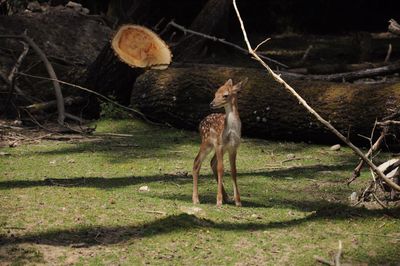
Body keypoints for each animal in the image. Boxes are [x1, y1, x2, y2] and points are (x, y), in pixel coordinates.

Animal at [191, 78, 247, 207]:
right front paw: (218, 200)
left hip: (219, 147)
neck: (231, 131)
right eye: (215, 93)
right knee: (197, 162)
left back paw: (227, 197)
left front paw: (238, 201)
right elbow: (221, 168)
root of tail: (200, 123)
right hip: (207, 142)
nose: (211, 104)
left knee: (212, 162)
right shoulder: (219, 144)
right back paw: (196, 199)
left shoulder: (233, 147)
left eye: (225, 95)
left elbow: (233, 170)